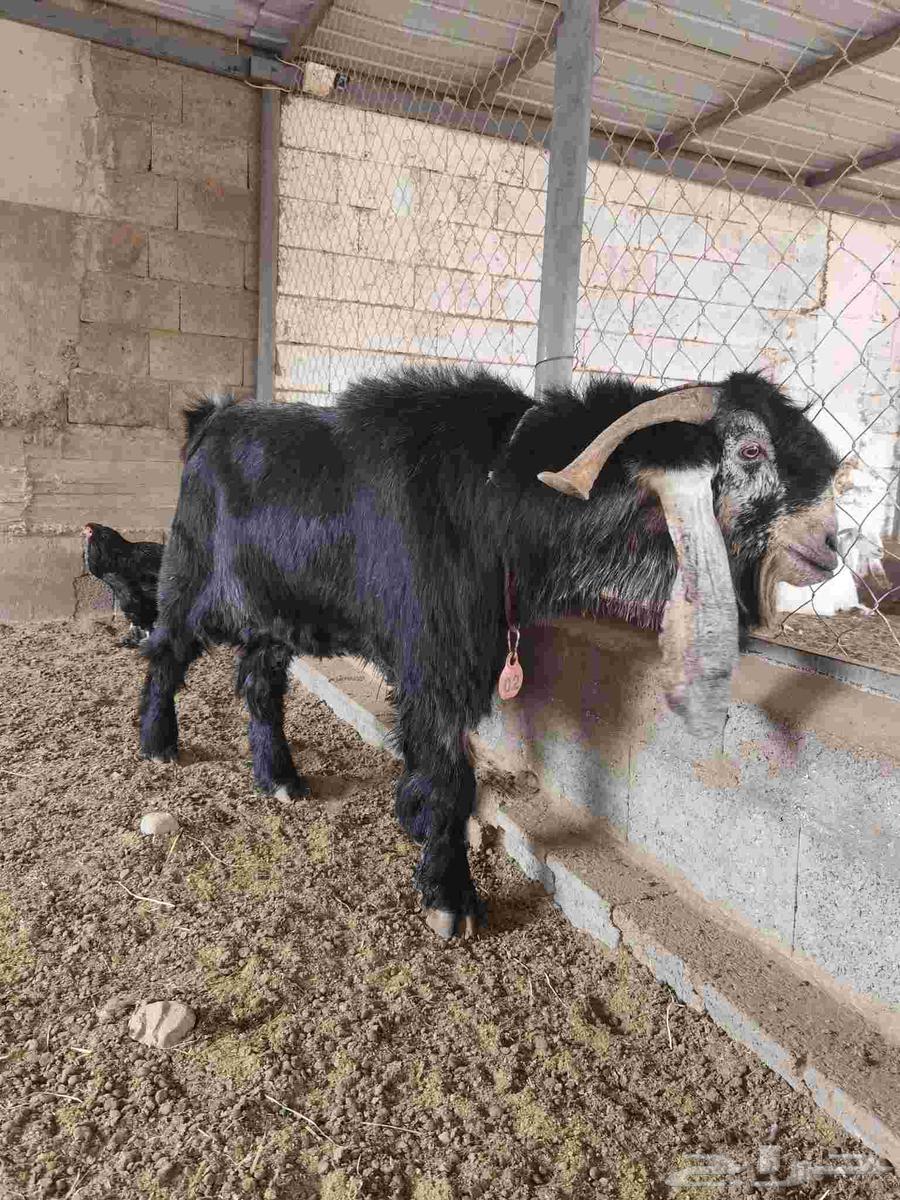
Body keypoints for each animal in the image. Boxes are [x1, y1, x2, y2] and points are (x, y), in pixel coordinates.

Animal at [138, 367, 840, 939]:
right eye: (751, 449)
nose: (829, 541)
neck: (495, 491)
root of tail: (211, 420)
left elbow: (433, 761)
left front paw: (412, 816)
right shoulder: (435, 663)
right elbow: (453, 776)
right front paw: (451, 899)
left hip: (279, 613)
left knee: (258, 679)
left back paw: (281, 778)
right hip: (193, 576)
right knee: (165, 647)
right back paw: (159, 743)